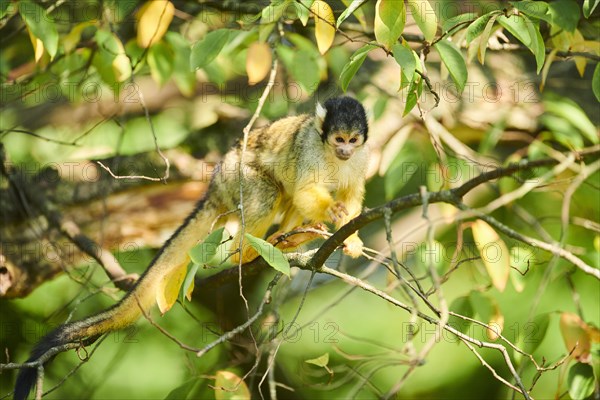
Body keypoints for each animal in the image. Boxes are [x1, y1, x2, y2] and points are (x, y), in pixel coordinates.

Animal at [14, 95, 368, 398]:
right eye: (338, 139)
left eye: (352, 141)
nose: (345, 152)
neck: (332, 154)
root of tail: (215, 182)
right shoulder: (310, 149)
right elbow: (307, 189)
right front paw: (333, 212)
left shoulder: (360, 160)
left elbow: (348, 194)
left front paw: (350, 237)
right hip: (237, 177)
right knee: (271, 191)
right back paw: (249, 251)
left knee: (286, 192)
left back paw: (291, 236)